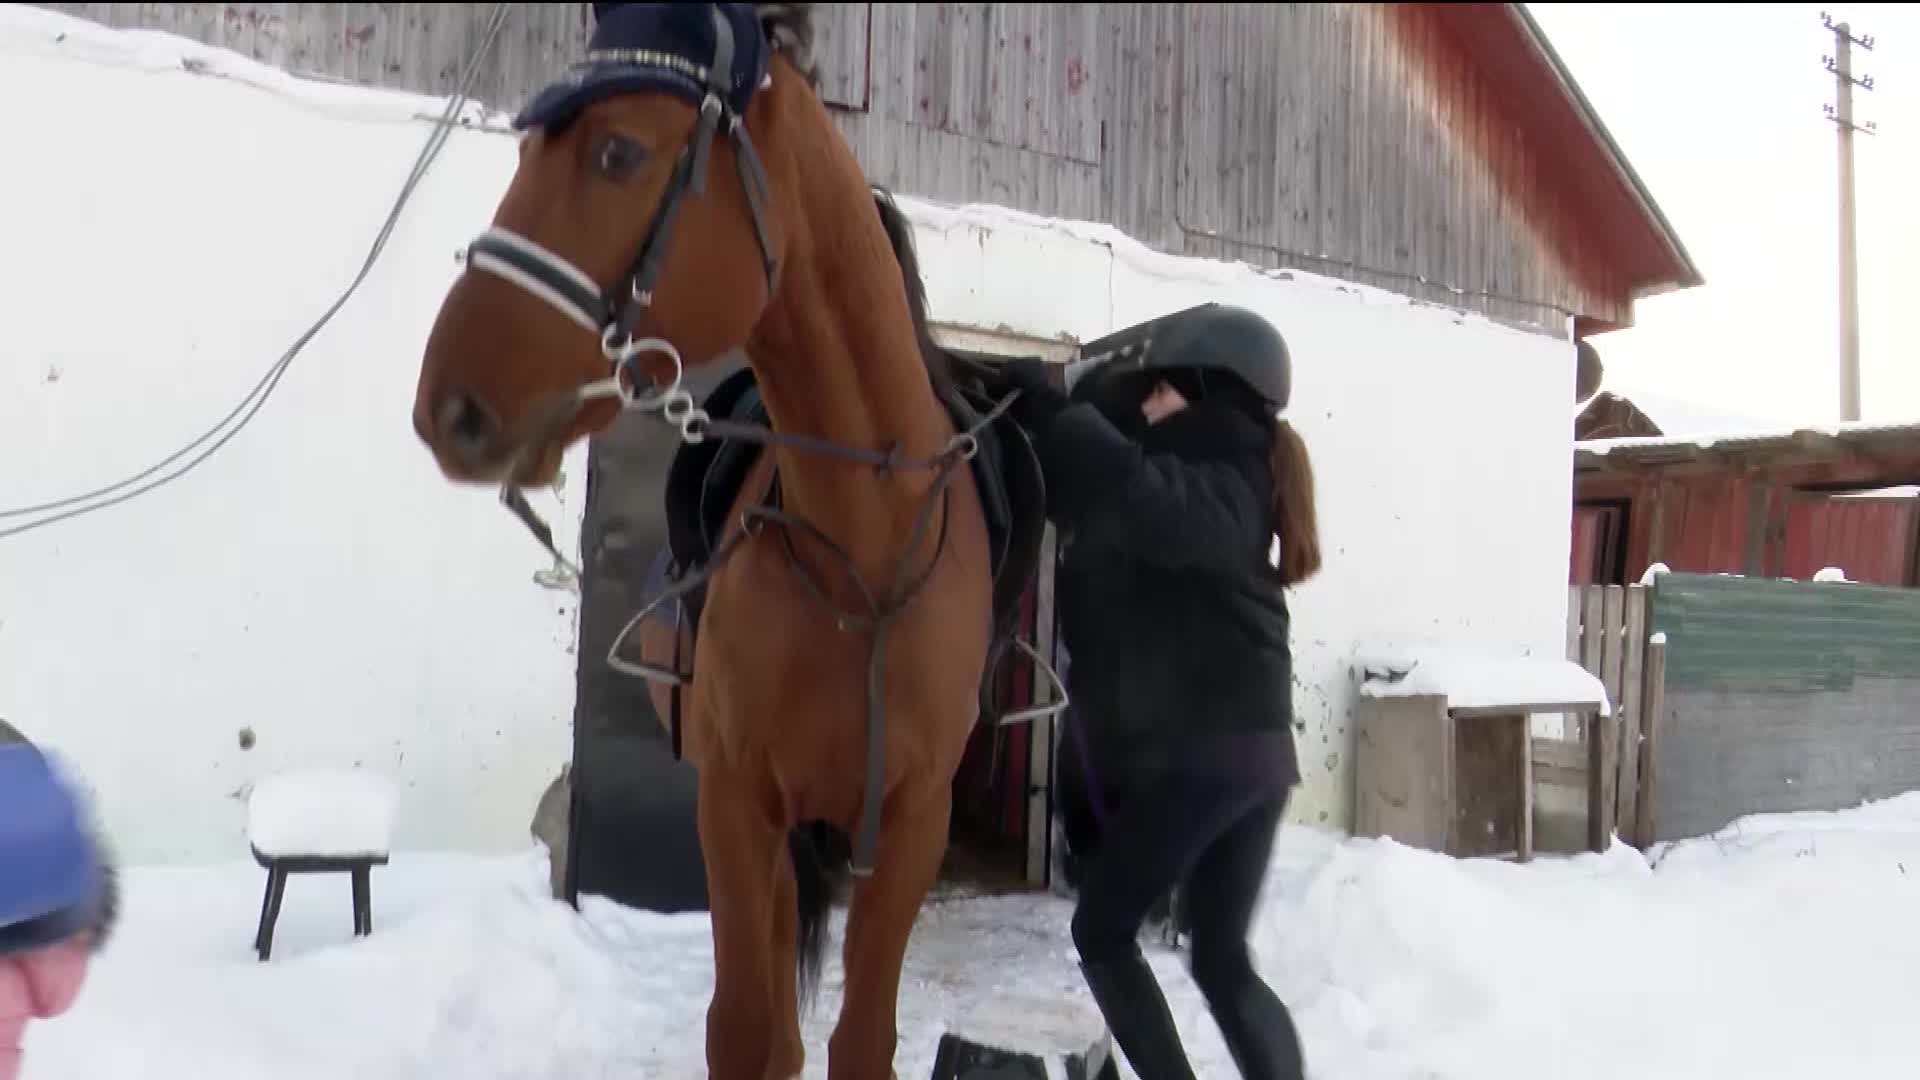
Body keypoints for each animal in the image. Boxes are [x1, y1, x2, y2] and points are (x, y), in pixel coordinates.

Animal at [410, 4, 1021, 1068]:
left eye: (618, 151)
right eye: (525, 150)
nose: (446, 406)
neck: (862, 551)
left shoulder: (913, 824)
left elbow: (862, 1039)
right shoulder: (737, 805)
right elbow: (746, 1033)